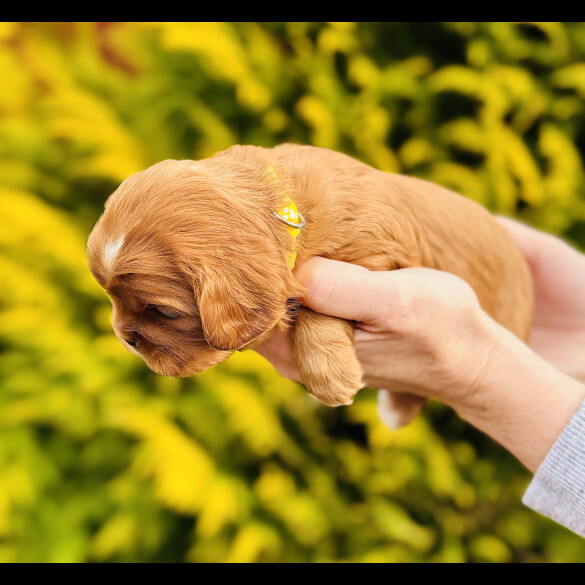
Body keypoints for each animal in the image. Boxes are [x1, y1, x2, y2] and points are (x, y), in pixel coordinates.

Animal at [88, 144, 532, 426]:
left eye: (163, 311)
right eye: (111, 299)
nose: (126, 339)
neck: (285, 206)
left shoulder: (374, 258)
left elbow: (320, 309)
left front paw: (329, 376)